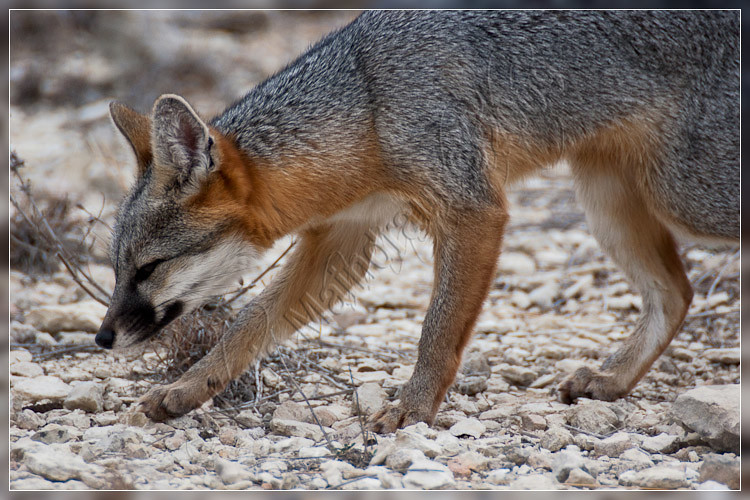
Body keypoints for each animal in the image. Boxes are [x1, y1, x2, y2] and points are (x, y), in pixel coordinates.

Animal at [96, 11, 739, 433]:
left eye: (149, 268)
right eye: (118, 269)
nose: (102, 338)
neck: (369, 105)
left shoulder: (475, 210)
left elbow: (437, 331)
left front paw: (413, 408)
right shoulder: (342, 241)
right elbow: (247, 325)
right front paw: (187, 389)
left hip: (686, 197)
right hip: (606, 199)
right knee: (675, 293)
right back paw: (615, 380)